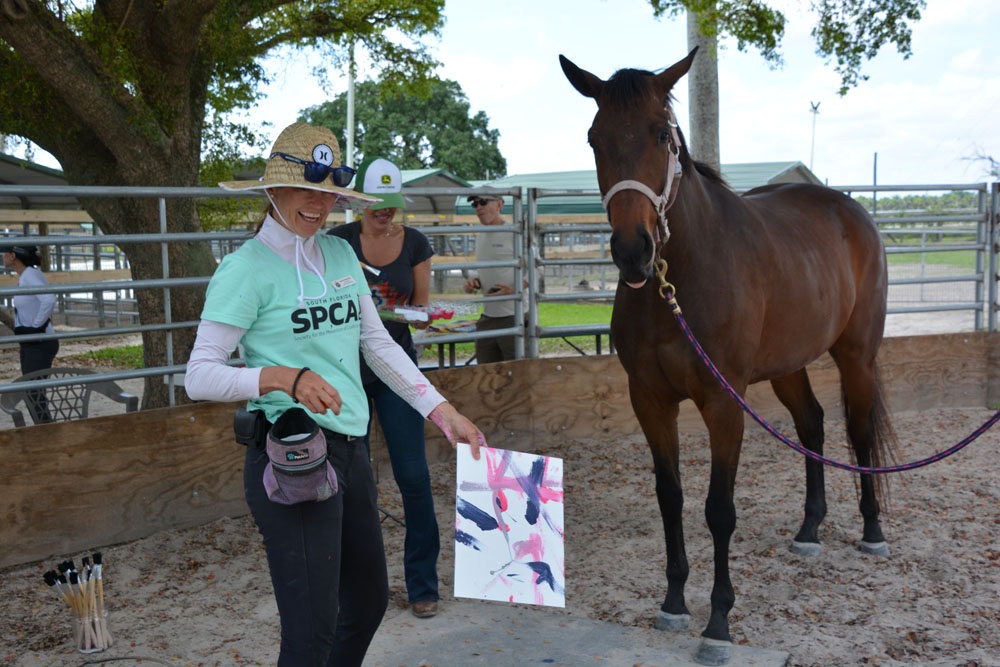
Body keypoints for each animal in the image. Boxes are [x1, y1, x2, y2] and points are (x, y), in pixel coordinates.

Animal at [560, 49, 898, 665]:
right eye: (595, 137)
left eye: (663, 134)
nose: (633, 251)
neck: (682, 280)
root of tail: (851, 211)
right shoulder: (650, 400)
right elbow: (670, 497)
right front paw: (674, 602)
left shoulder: (723, 402)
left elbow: (719, 509)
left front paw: (718, 621)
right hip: (788, 365)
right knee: (812, 424)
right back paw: (809, 531)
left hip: (857, 356)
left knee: (859, 433)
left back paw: (872, 532)